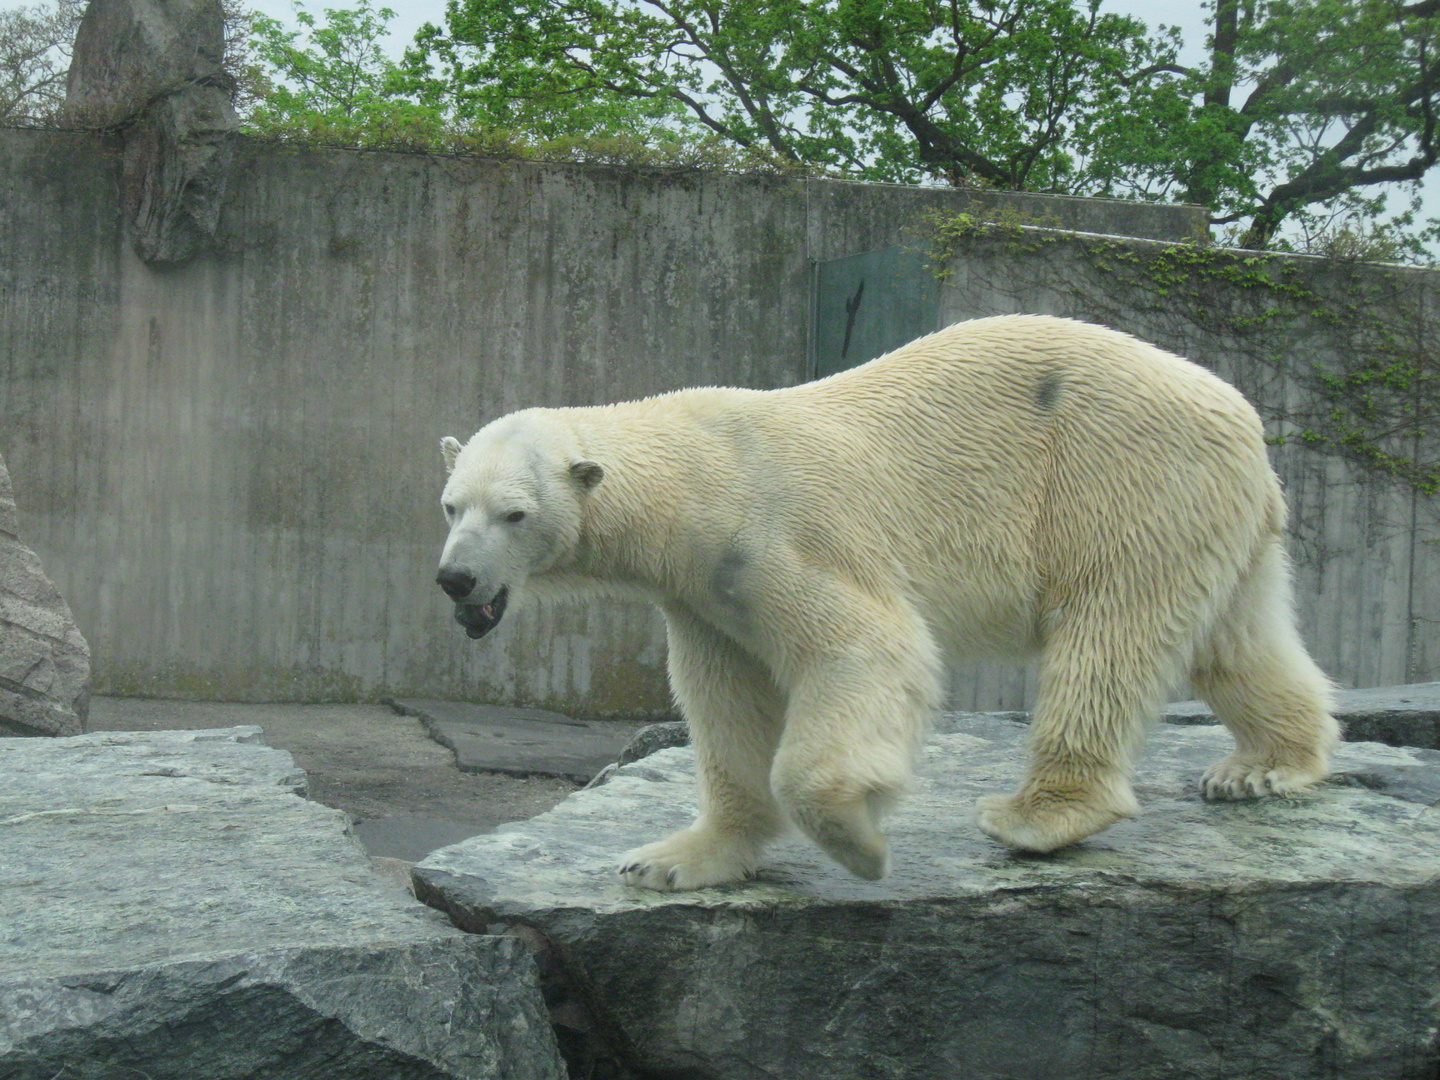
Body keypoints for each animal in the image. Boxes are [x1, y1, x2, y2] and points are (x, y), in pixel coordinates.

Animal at [434, 312, 1336, 887]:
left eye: (514, 513)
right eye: (450, 505)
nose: (456, 579)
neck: (697, 476)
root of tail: (1243, 413)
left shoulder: (776, 536)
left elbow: (864, 650)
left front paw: (860, 844)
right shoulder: (703, 592)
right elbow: (725, 704)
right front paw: (673, 858)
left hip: (1124, 478)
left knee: (1107, 633)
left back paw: (1038, 816)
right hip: (1211, 510)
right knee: (1235, 638)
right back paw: (1265, 766)